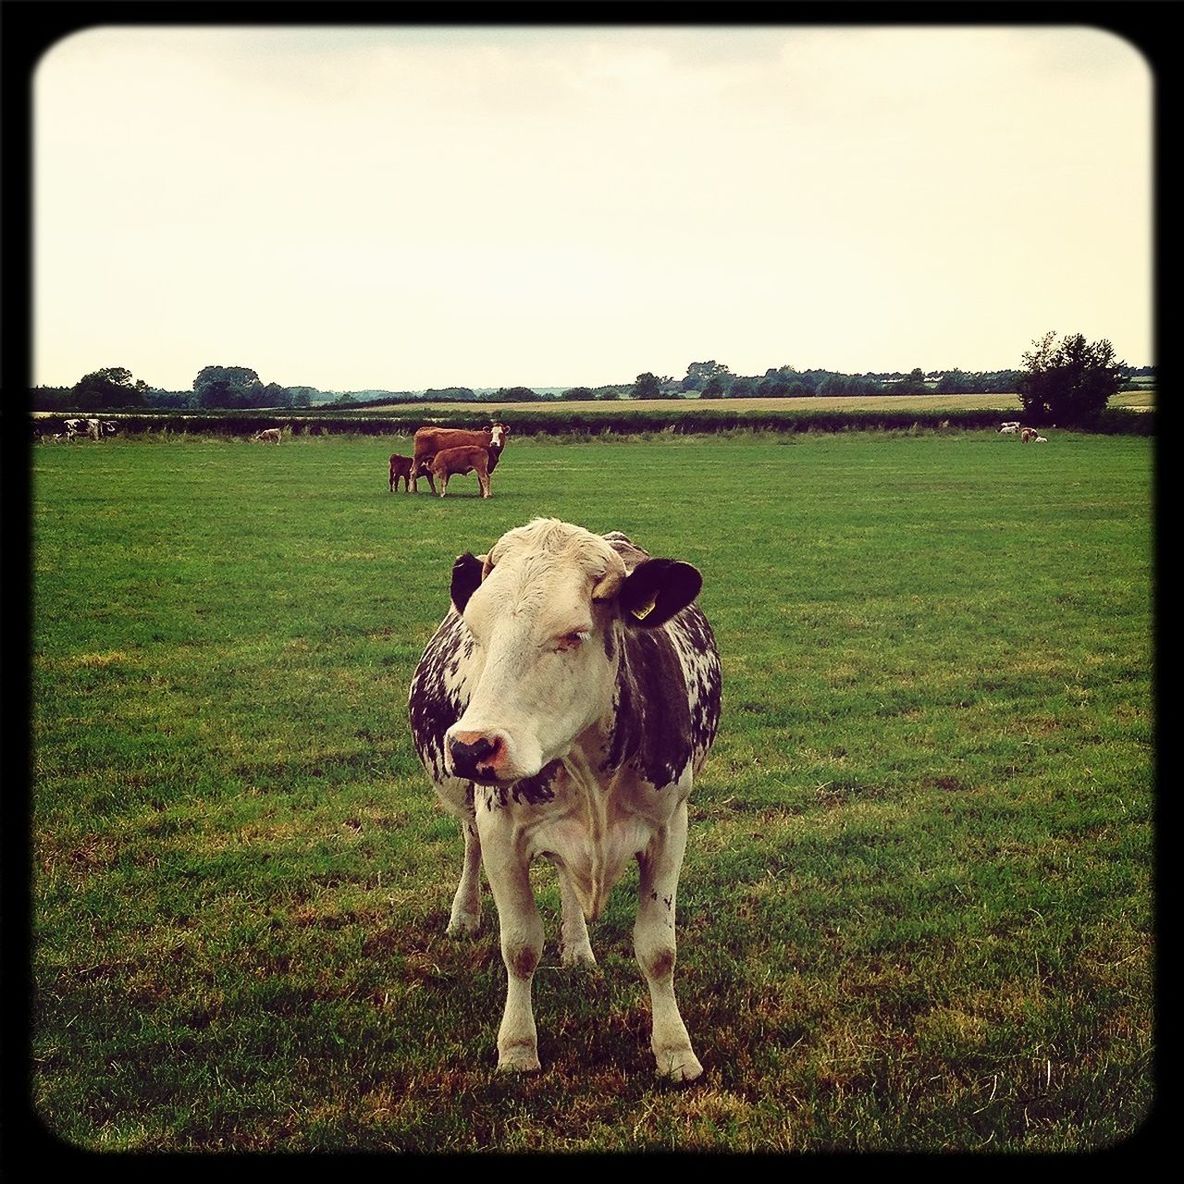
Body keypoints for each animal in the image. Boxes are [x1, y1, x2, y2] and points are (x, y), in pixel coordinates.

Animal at [407, 518, 719, 1084]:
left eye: (573, 634)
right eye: (477, 631)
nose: (471, 747)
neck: (589, 767)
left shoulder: (670, 829)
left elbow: (658, 950)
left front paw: (674, 1050)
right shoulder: (501, 833)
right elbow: (520, 946)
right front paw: (517, 1046)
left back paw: (577, 946)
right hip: (472, 810)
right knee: (469, 846)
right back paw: (464, 915)